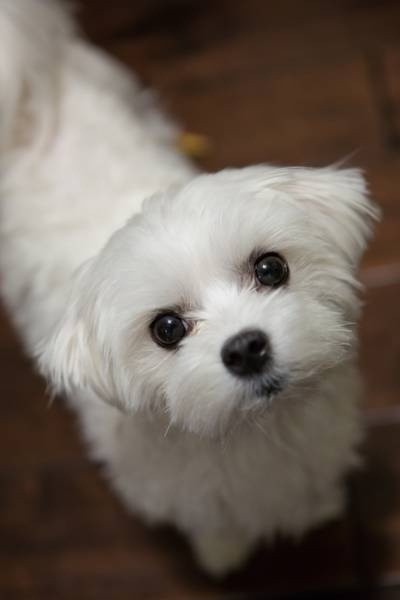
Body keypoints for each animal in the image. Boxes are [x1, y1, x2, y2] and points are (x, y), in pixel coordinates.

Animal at [0, 0, 378, 576]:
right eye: (167, 328)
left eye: (271, 269)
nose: (246, 347)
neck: (254, 433)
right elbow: (216, 527)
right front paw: (223, 554)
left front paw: (320, 507)